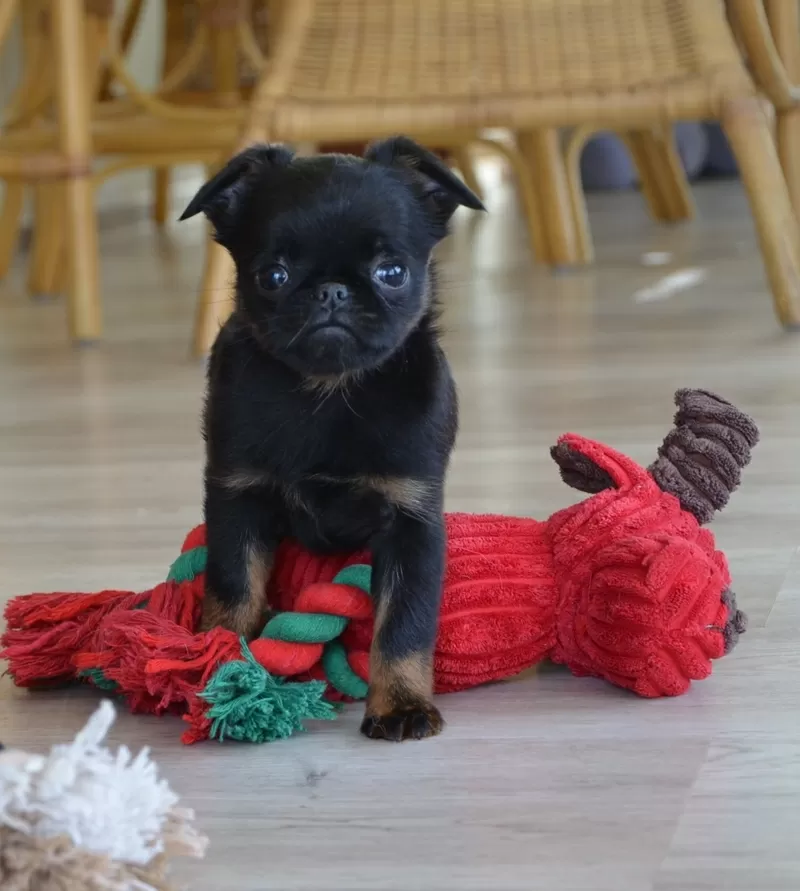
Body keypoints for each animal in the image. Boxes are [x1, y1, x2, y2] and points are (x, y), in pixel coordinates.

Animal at [180, 138, 482, 740]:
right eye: (272, 276)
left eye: (392, 272)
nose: (332, 291)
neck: (328, 391)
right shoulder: (236, 499)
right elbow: (232, 587)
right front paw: (223, 663)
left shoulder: (412, 519)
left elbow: (405, 621)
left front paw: (401, 704)